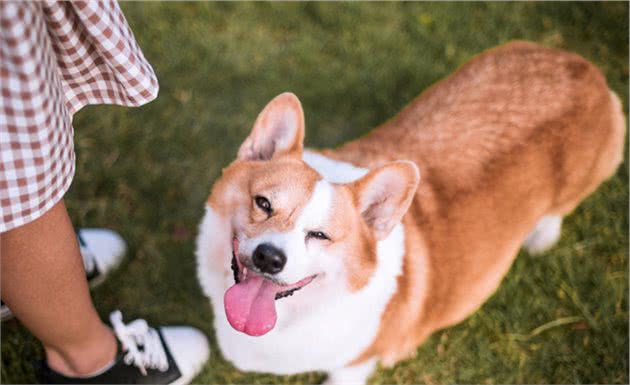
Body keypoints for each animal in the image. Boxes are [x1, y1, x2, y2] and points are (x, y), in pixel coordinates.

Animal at [196, 40, 628, 382]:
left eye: (320, 235)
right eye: (263, 203)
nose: (269, 258)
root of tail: (584, 67)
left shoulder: (356, 364)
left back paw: (541, 238)